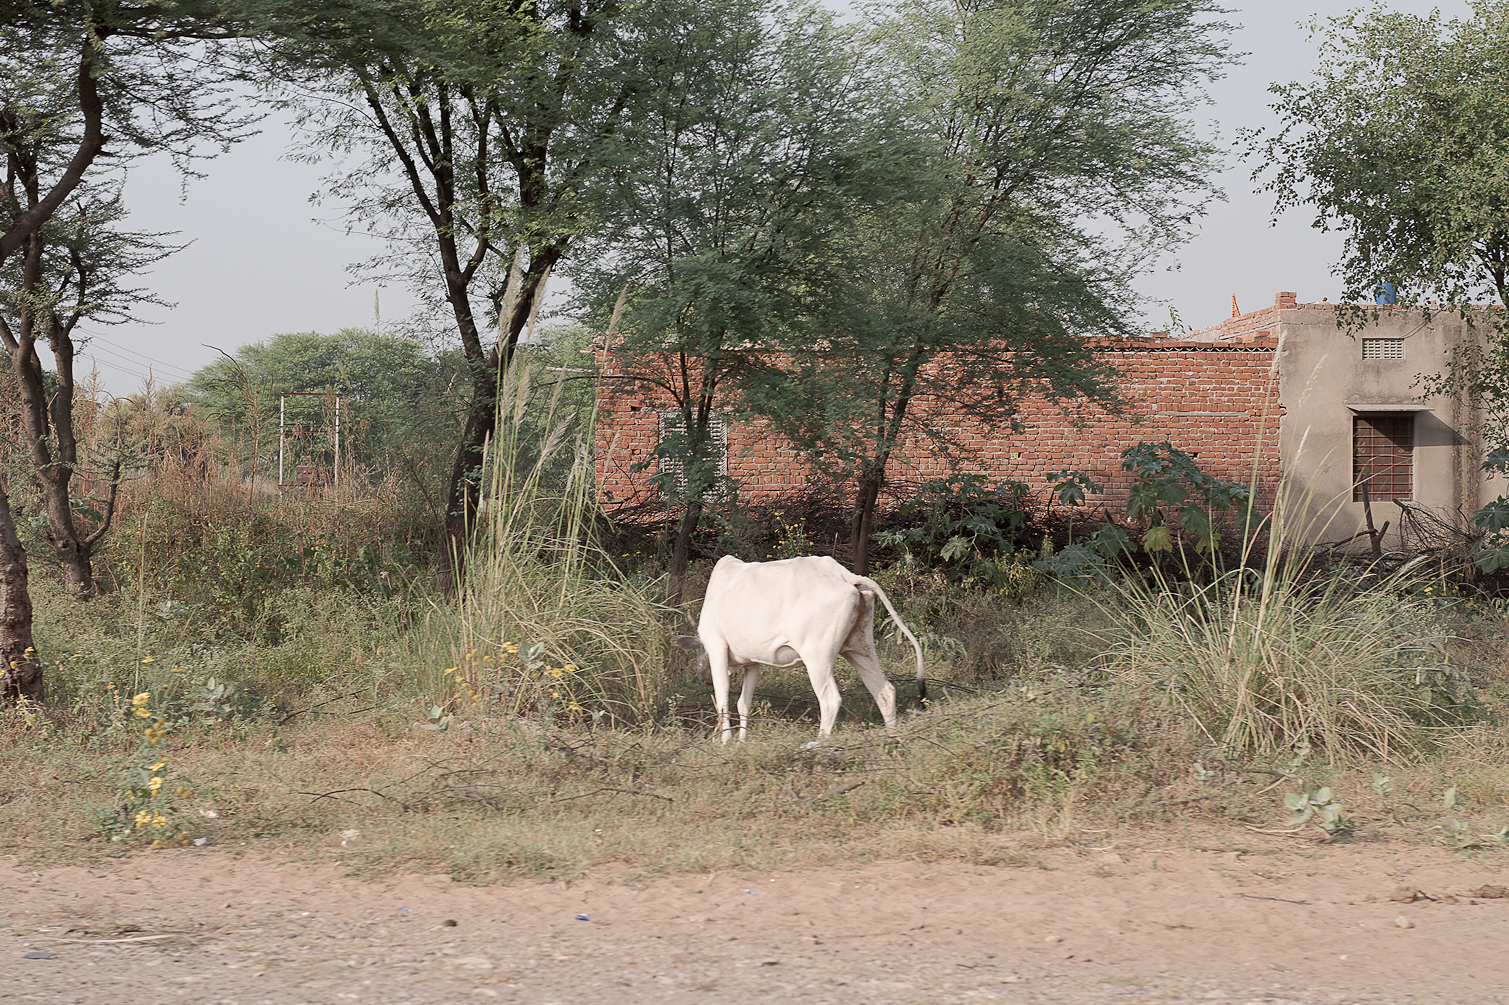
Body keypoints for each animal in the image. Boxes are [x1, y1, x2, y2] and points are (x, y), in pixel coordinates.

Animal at [674, 555, 926, 743]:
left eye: (700, 651)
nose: (703, 676)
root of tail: (845, 575)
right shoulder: (753, 662)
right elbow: (744, 703)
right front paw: (741, 741)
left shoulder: (717, 646)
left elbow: (723, 697)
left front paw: (726, 741)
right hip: (859, 648)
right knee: (884, 691)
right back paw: (892, 739)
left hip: (817, 657)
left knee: (830, 700)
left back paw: (819, 744)